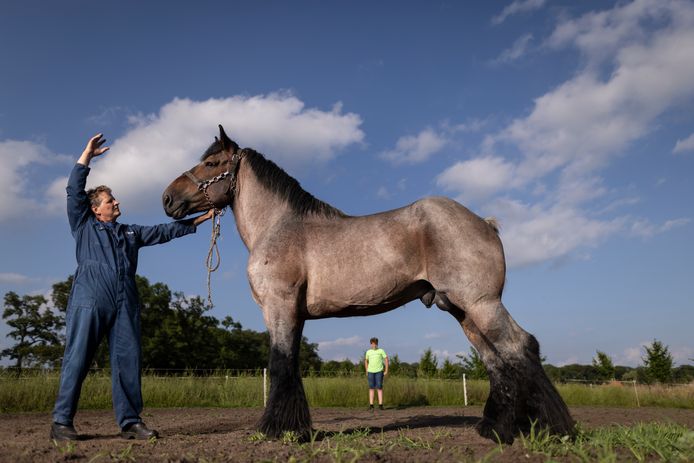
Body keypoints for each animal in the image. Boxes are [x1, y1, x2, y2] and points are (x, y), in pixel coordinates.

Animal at [163, 125, 576, 444]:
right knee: (496, 360)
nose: (167, 198)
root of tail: (484, 223)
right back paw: (495, 428)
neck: (280, 226)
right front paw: (296, 428)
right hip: (462, 310)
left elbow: (280, 365)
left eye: (211, 163)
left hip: (481, 303)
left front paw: (278, 430)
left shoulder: (280, 307)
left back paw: (552, 429)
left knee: (520, 347)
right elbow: (291, 364)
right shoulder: (293, 314)